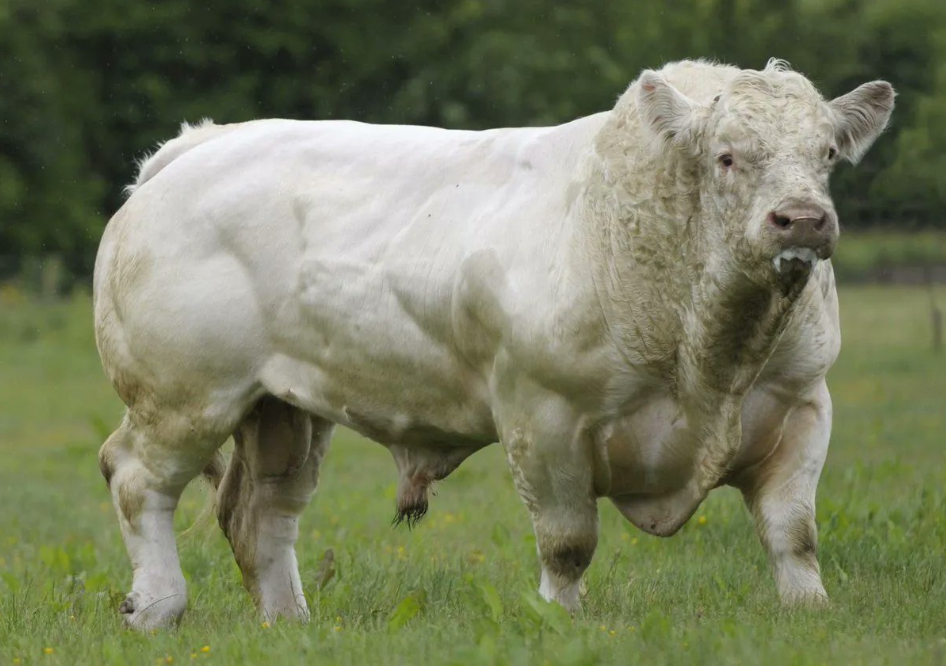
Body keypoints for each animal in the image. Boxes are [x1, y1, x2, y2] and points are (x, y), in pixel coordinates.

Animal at [90, 58, 892, 628]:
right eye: (727, 156)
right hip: (184, 397)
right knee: (137, 480)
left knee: (262, 513)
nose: (802, 219)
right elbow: (568, 542)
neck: (708, 350)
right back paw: (157, 608)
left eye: (826, 154)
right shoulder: (544, 418)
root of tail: (203, 143)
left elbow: (793, 530)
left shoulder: (801, 403)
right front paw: (562, 620)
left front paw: (809, 612)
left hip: (283, 407)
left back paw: (289, 622)